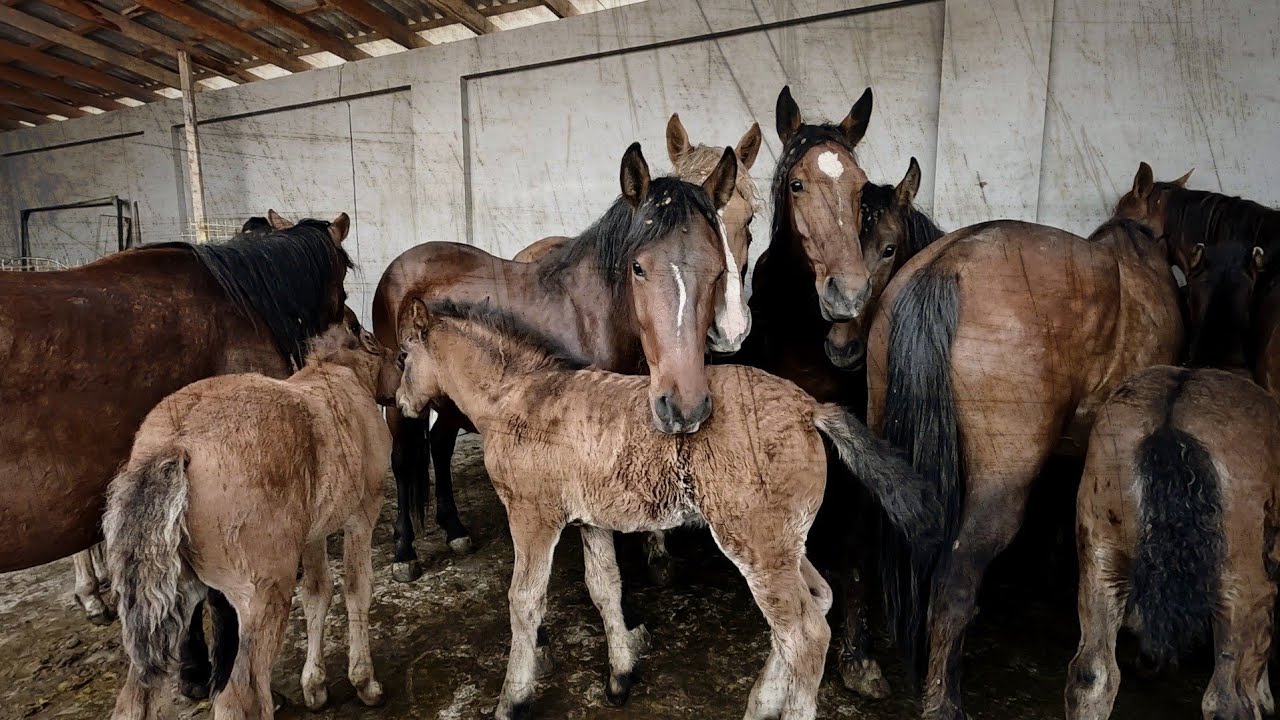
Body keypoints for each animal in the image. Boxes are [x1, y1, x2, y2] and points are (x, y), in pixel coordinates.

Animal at [0, 210, 353, 697]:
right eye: (346, 274)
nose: (356, 324)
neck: (243, 306)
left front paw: (192, 670)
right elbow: (220, 599)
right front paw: (220, 672)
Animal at [105, 321, 399, 719]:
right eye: (386, 352)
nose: (401, 370)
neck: (340, 375)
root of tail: (174, 444)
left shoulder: (312, 535)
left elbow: (317, 592)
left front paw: (315, 687)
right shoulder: (362, 514)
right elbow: (357, 588)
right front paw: (365, 683)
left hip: (171, 599)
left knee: (135, 698)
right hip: (262, 592)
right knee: (239, 698)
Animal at [374, 141, 751, 582]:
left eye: (716, 270)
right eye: (638, 267)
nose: (686, 405)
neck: (594, 316)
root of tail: (403, 262)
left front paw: (656, 551)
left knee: (440, 443)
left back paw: (455, 530)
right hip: (399, 400)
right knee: (402, 460)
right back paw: (404, 550)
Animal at [393, 298, 943, 720]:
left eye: (402, 355)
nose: (400, 404)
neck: (516, 398)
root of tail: (810, 408)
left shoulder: (533, 517)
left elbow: (524, 601)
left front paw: (512, 700)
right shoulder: (591, 522)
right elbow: (605, 589)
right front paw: (620, 679)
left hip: (757, 546)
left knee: (805, 634)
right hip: (785, 543)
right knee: (816, 602)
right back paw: (760, 703)